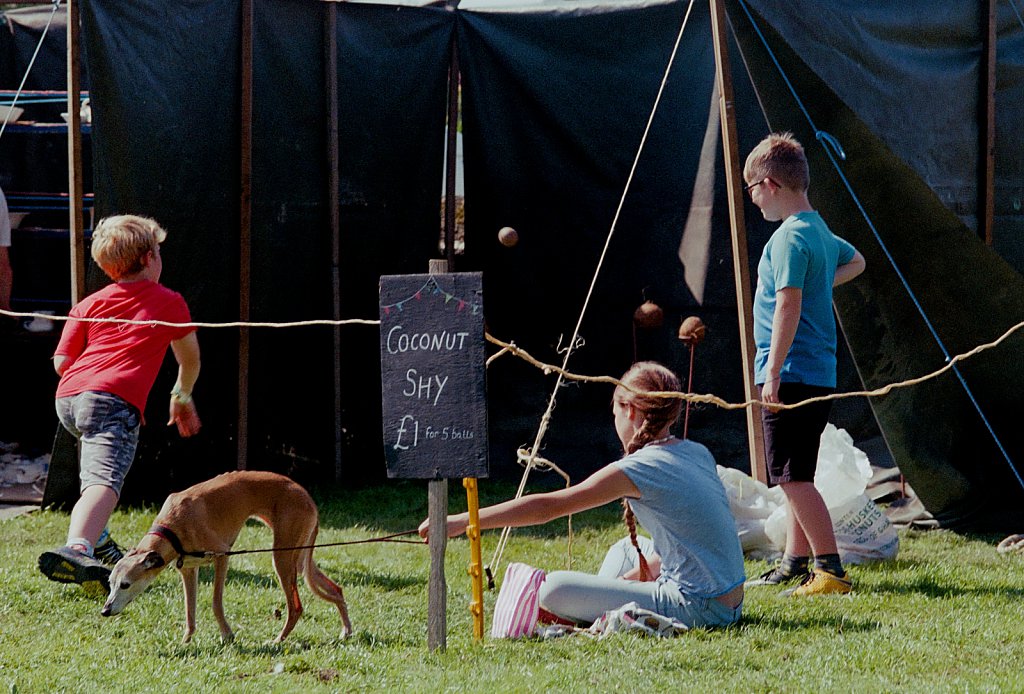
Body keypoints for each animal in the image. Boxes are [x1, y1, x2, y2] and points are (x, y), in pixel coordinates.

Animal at [101, 470, 352, 643]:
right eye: (110, 583)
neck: (171, 527)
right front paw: (185, 641)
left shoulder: (222, 557)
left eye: (125, 584)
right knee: (336, 589)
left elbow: (215, 603)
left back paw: (278, 640)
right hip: (297, 559)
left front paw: (227, 635)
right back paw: (346, 630)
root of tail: (306, 495)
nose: (104, 611)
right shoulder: (188, 570)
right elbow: (189, 611)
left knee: (296, 607)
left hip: (281, 558)